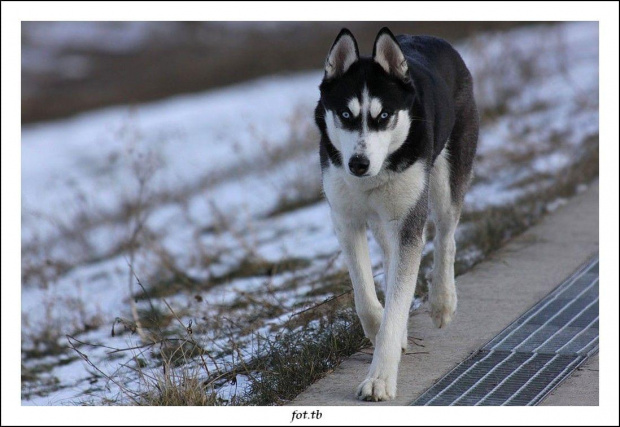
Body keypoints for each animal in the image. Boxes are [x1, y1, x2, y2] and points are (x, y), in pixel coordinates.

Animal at [314, 28, 480, 402]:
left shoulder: (408, 222)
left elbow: (397, 300)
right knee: (392, 255)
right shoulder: (345, 219)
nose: (358, 164)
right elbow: (366, 295)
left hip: (444, 180)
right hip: (384, 219)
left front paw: (380, 378)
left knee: (445, 236)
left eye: (383, 116)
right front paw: (380, 327)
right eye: (345, 115)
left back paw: (442, 301)